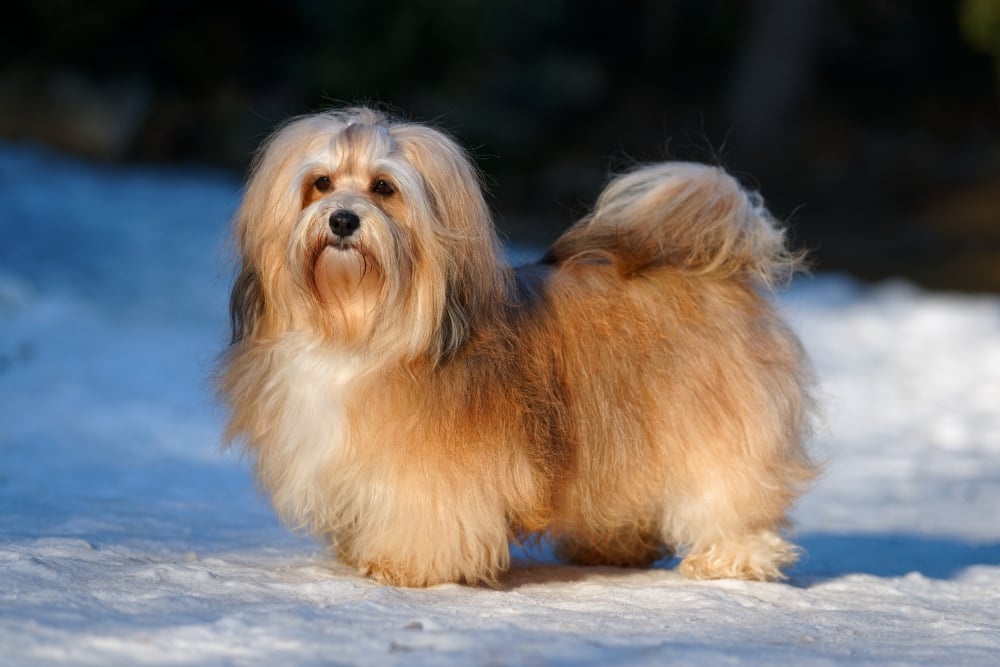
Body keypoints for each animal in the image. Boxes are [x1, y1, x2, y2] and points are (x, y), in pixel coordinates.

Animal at [217, 107, 812, 588]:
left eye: (384, 187)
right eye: (320, 182)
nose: (342, 219)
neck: (359, 330)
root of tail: (715, 265)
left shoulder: (438, 466)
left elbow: (426, 512)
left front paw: (404, 565)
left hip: (716, 428)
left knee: (730, 492)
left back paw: (731, 557)